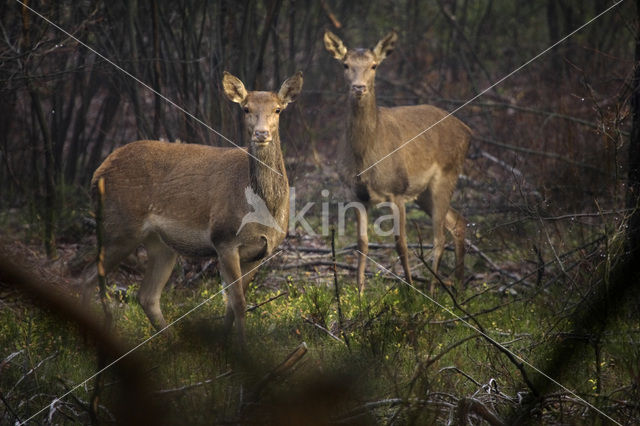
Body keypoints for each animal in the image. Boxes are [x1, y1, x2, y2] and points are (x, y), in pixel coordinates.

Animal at [84, 71, 304, 344]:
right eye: (245, 108)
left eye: (277, 109)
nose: (261, 134)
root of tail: (97, 173)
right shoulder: (224, 239)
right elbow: (239, 303)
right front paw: (241, 347)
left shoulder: (260, 252)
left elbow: (231, 304)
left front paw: (223, 344)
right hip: (119, 227)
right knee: (84, 279)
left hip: (160, 244)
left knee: (146, 296)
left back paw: (172, 343)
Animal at [324, 31, 470, 294]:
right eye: (345, 64)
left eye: (374, 65)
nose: (359, 87)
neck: (365, 159)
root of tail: (468, 131)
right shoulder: (354, 193)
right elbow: (362, 243)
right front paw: (359, 294)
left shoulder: (397, 190)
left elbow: (400, 243)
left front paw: (410, 291)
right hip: (424, 193)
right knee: (458, 222)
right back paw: (459, 287)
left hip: (447, 175)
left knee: (439, 236)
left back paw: (431, 290)